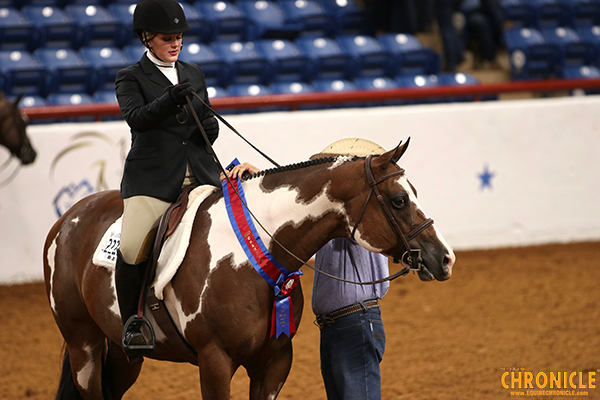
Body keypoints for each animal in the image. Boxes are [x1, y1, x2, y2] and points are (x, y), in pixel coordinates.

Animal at [43, 139, 454, 398]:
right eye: (399, 199)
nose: (445, 257)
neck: (249, 255)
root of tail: (67, 219)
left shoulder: (274, 362)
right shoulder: (214, 363)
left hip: (121, 351)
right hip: (84, 347)